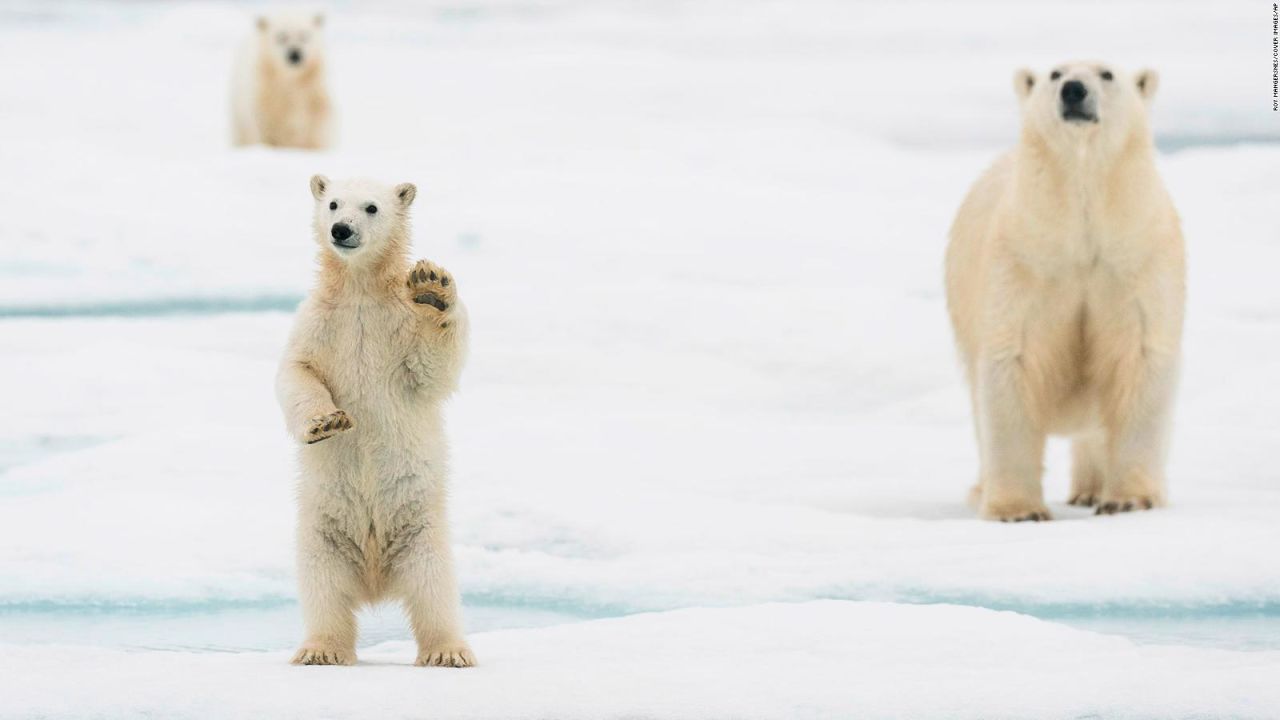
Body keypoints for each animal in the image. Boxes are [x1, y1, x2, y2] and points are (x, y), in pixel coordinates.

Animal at [230, 12, 332, 149]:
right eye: (281, 37)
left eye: (304, 35)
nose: (295, 54)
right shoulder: (264, 92)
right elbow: (262, 123)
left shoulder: (312, 90)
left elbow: (317, 121)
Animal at [276, 175, 476, 666]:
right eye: (333, 203)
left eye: (371, 207)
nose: (341, 229)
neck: (360, 292)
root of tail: (374, 581)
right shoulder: (317, 323)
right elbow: (296, 372)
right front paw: (325, 423)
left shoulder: (398, 327)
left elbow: (432, 369)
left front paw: (433, 286)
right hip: (321, 534)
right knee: (323, 589)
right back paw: (320, 650)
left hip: (422, 532)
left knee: (434, 589)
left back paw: (448, 652)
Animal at [947, 60, 1182, 520]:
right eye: (1055, 73)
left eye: (1107, 73)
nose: (1074, 90)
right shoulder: (1023, 261)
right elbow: (1012, 361)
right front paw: (1018, 510)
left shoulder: (1137, 258)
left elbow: (1139, 358)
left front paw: (1129, 499)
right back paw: (983, 489)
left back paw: (1090, 490)